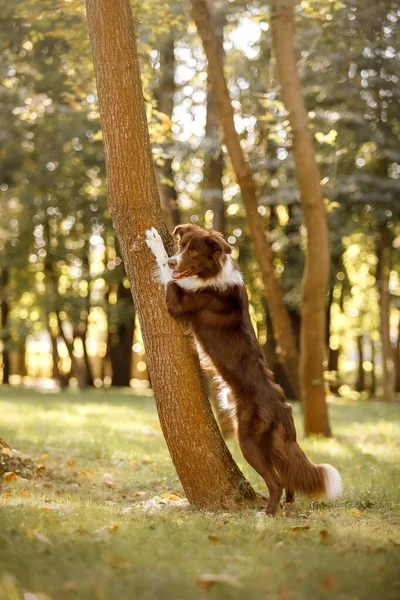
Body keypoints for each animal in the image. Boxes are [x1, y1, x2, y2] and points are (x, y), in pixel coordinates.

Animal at [145, 223, 342, 512]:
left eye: (194, 251)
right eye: (182, 246)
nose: (174, 260)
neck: (212, 274)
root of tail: (284, 410)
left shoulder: (179, 303)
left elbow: (169, 276)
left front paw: (154, 241)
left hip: (249, 440)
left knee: (276, 481)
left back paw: (267, 514)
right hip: (272, 445)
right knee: (287, 474)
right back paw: (288, 505)